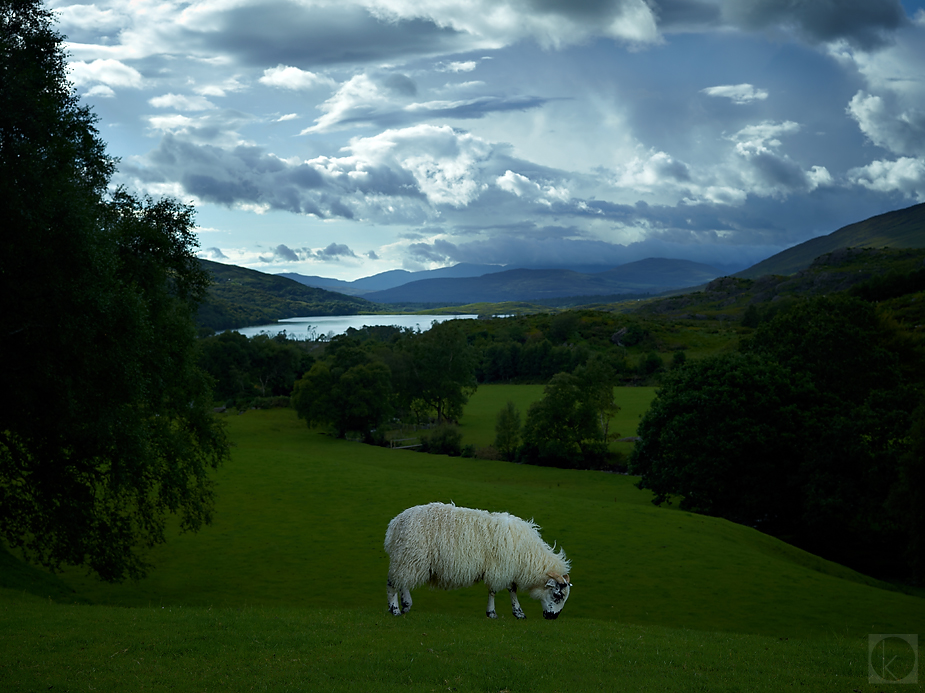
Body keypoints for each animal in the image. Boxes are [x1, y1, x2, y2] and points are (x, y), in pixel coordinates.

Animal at [382, 500, 572, 620]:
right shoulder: (500, 568)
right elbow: (496, 591)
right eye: (557, 595)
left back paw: (406, 604)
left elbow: (511, 589)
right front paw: (493, 613)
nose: (553, 617)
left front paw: (518, 613)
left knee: (403, 582)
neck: (528, 554)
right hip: (408, 556)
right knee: (392, 582)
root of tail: (396, 523)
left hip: (409, 559)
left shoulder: (508, 568)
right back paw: (395, 609)